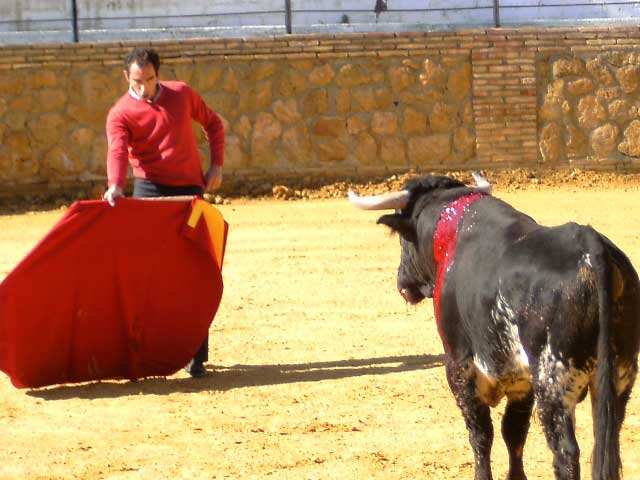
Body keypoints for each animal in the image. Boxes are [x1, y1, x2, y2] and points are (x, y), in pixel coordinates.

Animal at [352, 176, 636, 480]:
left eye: (403, 240)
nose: (402, 283)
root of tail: (593, 248)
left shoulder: (460, 367)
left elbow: (481, 434)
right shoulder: (521, 380)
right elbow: (514, 432)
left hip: (553, 381)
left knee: (566, 454)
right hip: (619, 377)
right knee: (607, 442)